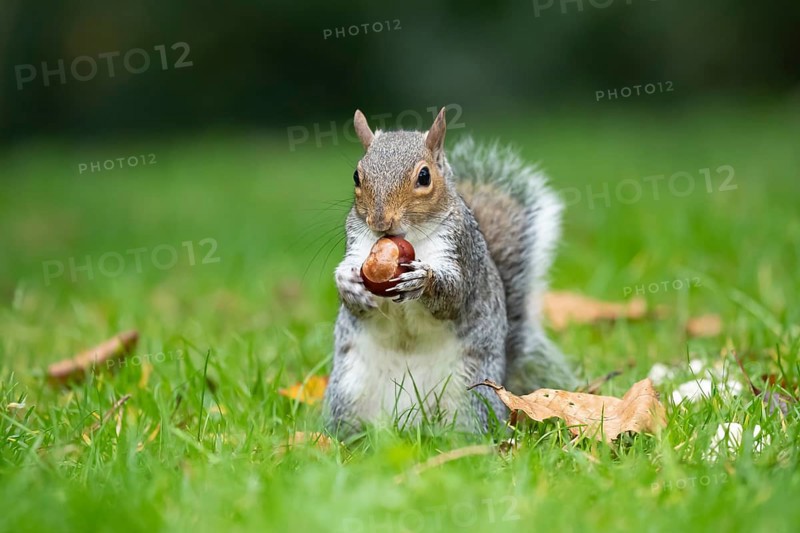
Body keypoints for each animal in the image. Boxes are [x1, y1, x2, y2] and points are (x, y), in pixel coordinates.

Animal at [324, 107, 577, 435]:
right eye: (357, 175)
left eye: (424, 176)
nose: (380, 222)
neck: (410, 236)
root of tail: (409, 424)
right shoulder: (357, 243)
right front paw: (348, 283)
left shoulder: (461, 249)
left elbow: (454, 296)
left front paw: (422, 281)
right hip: (350, 387)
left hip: (470, 393)